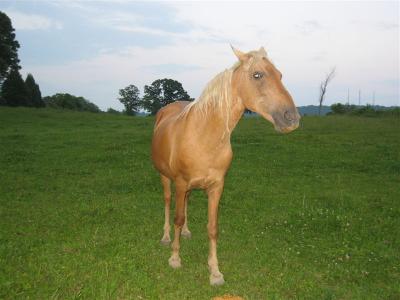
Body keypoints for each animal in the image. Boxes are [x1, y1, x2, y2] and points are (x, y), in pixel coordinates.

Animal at [151, 46, 300, 286]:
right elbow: (177, 218)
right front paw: (174, 258)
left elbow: (212, 228)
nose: (292, 118)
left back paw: (187, 232)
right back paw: (166, 237)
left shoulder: (216, 187)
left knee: (187, 203)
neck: (204, 134)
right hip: (166, 178)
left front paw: (215, 272)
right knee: (167, 202)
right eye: (257, 75)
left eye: (280, 75)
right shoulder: (181, 183)